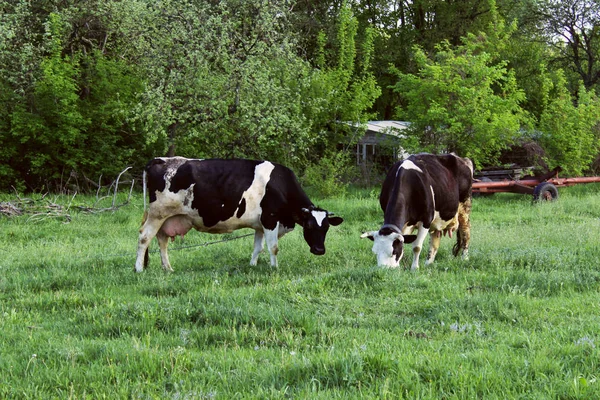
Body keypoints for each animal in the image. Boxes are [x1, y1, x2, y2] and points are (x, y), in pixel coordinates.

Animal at [134, 156, 344, 272]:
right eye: (309, 225)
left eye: (326, 227)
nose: (319, 250)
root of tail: (160, 160)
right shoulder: (270, 219)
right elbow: (273, 247)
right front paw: (274, 268)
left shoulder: (260, 224)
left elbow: (258, 247)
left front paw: (252, 265)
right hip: (157, 214)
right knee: (144, 238)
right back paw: (138, 269)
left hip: (167, 218)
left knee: (162, 241)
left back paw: (168, 268)